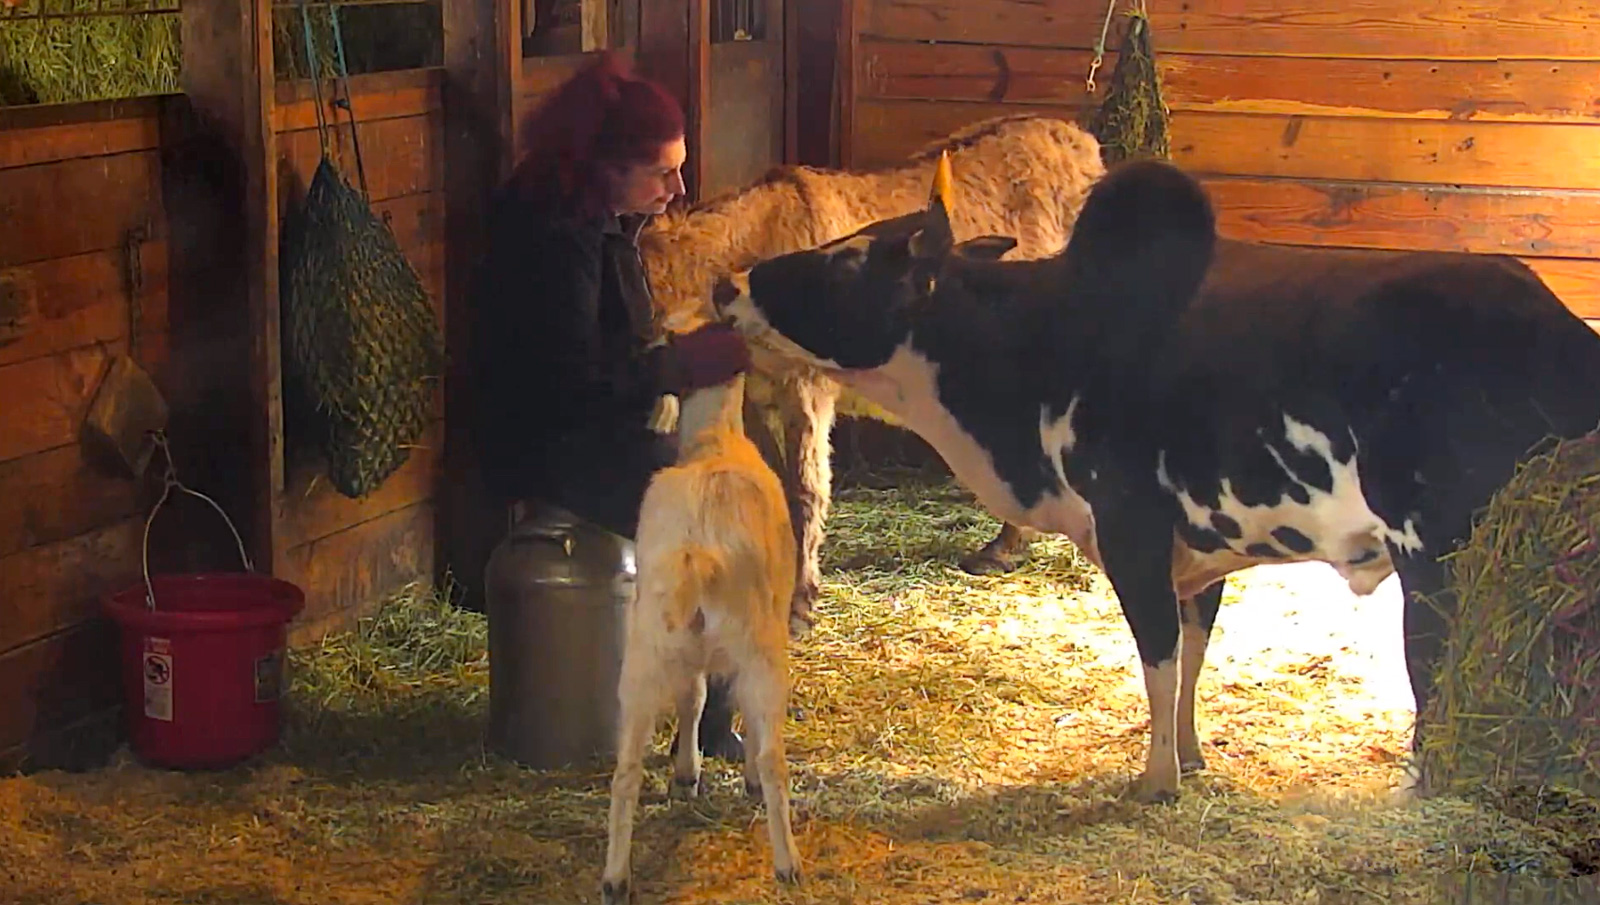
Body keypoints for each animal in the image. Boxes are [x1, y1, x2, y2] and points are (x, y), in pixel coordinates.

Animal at [716, 157, 1600, 809]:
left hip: (1441, 564)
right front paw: (1192, 754)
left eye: (849, 258)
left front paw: (1156, 779)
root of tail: (1556, 330)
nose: (730, 285)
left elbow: (1158, 656)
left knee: (1440, 687)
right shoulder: (1202, 553)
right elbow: (1194, 656)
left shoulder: (1132, 528)